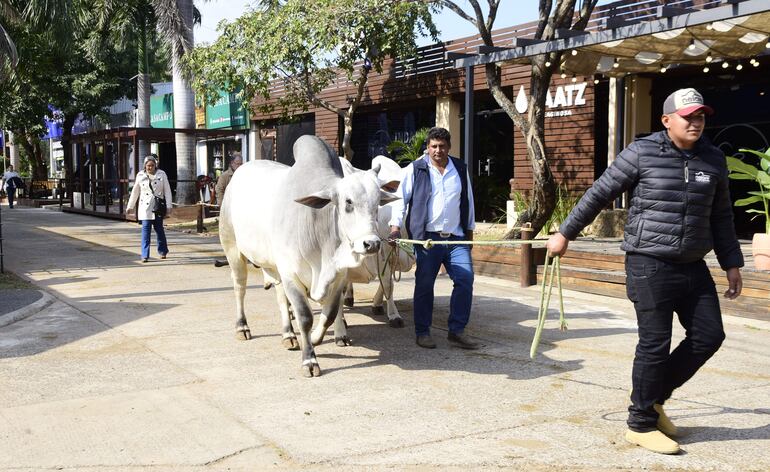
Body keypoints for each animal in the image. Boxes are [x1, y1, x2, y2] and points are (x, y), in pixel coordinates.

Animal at [218, 135, 392, 378]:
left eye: (378, 204)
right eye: (348, 202)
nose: (372, 243)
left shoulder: (338, 277)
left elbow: (330, 313)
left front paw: (318, 338)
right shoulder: (292, 275)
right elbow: (305, 317)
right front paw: (309, 360)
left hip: (275, 265)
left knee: (280, 297)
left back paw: (288, 334)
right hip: (232, 248)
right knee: (239, 288)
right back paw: (242, 326)